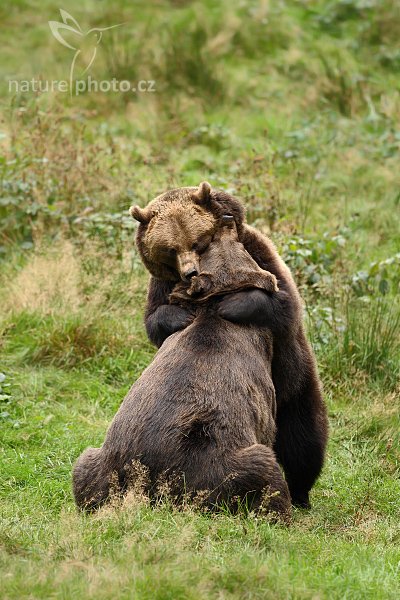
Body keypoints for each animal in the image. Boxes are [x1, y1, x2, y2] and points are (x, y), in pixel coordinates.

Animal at [72, 216, 290, 520]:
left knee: (83, 468)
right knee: (262, 468)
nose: (227, 221)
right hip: (217, 466)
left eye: (205, 245)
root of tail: (148, 484)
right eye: (215, 241)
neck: (212, 304)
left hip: (104, 463)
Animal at [130, 182, 330, 506]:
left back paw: (301, 491)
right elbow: (154, 319)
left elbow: (283, 300)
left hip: (293, 377)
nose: (190, 273)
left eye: (197, 242)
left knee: (303, 435)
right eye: (170, 249)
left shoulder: (259, 252)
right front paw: (181, 315)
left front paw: (235, 304)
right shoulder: (159, 285)